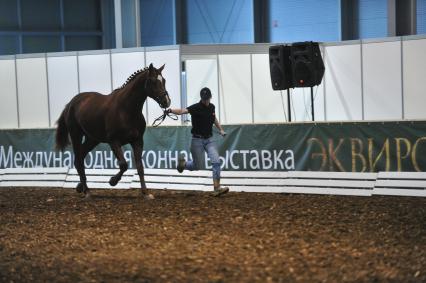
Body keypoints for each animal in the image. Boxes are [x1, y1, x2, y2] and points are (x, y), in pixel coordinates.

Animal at [55, 63, 171, 200]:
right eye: (153, 81)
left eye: (164, 80)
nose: (166, 101)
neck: (126, 109)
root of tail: (70, 104)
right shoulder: (114, 141)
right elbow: (123, 164)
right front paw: (112, 181)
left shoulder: (137, 141)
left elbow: (140, 167)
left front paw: (146, 193)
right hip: (76, 135)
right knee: (78, 160)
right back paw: (87, 191)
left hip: (92, 139)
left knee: (80, 157)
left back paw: (81, 187)